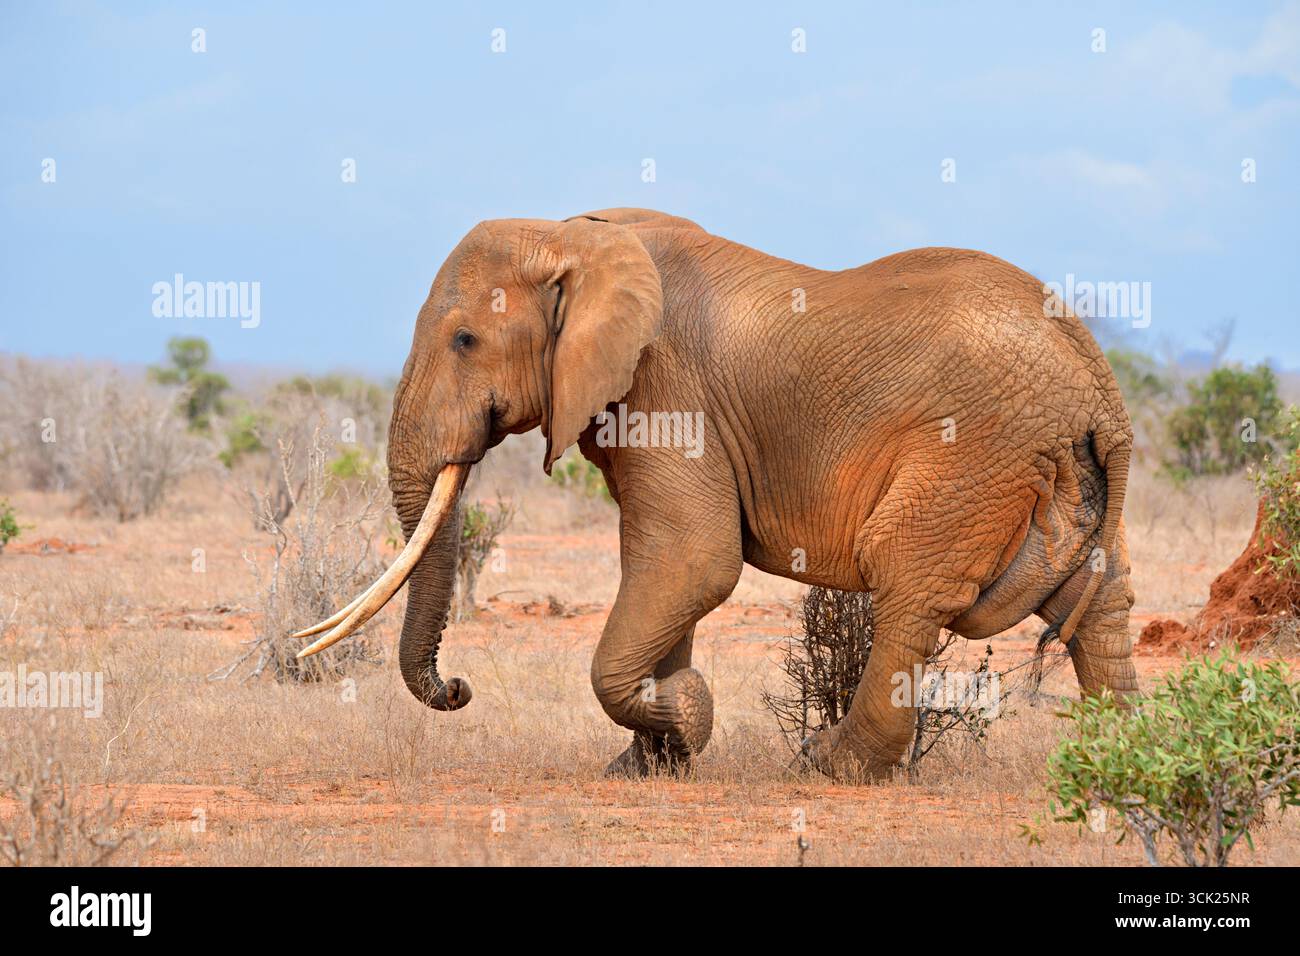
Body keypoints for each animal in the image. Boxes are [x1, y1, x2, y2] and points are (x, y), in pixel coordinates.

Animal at [296, 206, 1137, 781]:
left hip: (976, 450)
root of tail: (1096, 377)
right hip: (1051, 469)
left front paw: (686, 717)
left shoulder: (667, 384)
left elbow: (691, 562)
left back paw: (827, 765)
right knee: (1095, 598)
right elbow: (660, 566)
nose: (459, 687)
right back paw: (1122, 754)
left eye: (465, 340)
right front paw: (646, 764)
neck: (571, 236)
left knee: (906, 580)